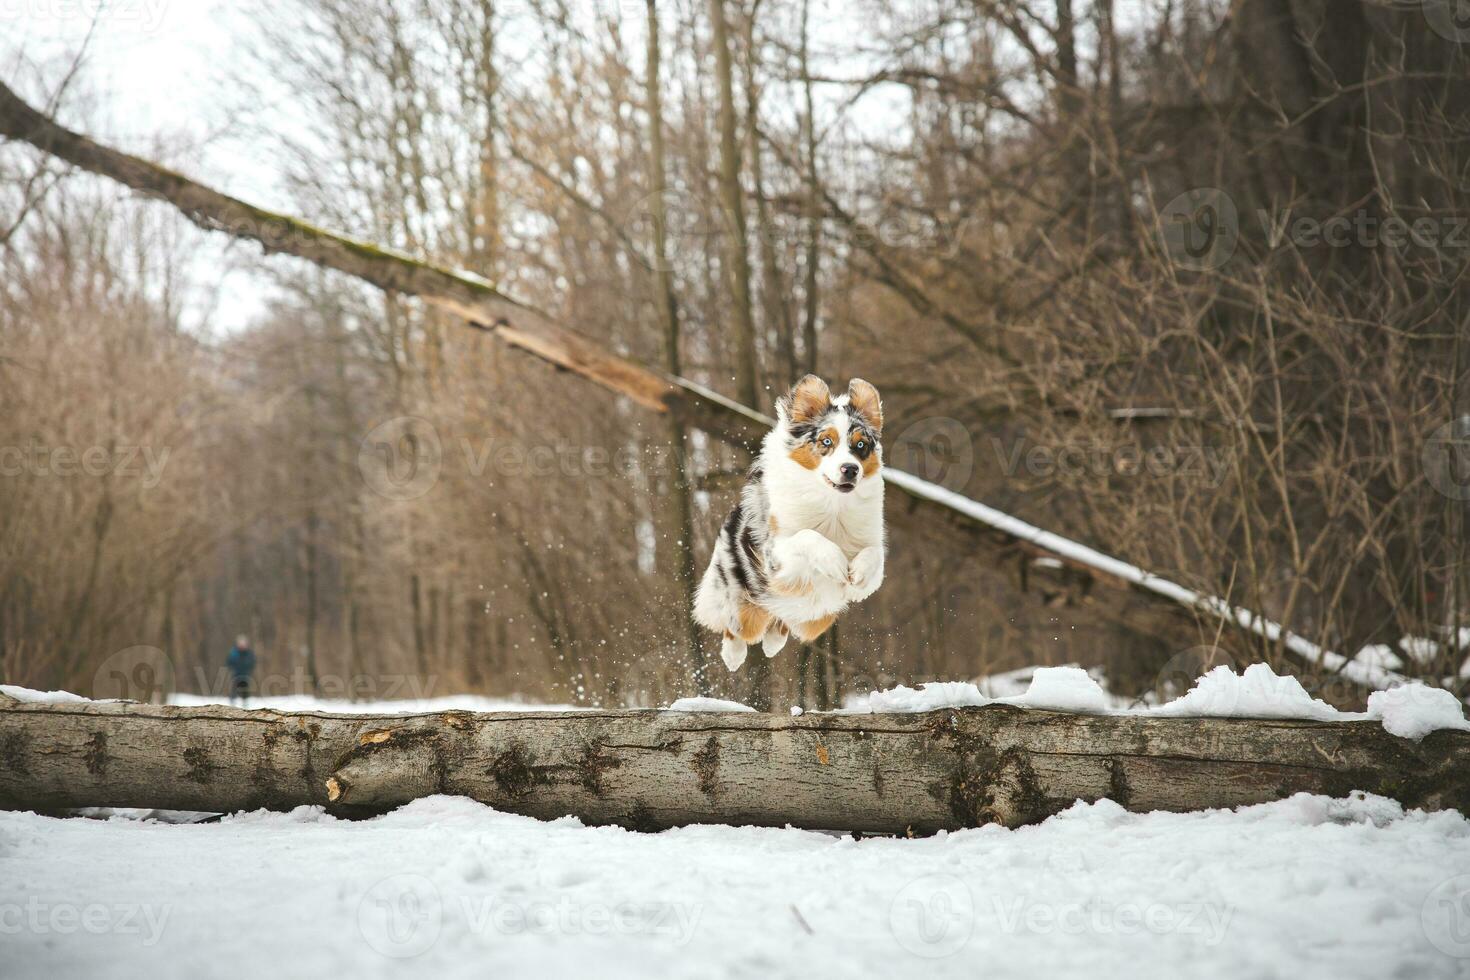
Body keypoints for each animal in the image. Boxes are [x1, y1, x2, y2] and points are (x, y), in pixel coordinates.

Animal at [690, 371, 882, 669]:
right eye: (826, 441)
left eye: (861, 445)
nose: (850, 469)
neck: (833, 505)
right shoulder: (775, 557)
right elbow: (807, 536)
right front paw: (835, 561)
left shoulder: (871, 547)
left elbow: (876, 557)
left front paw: (858, 574)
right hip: (745, 602)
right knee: (735, 625)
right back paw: (733, 655)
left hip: (816, 619)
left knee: (782, 619)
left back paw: (772, 642)